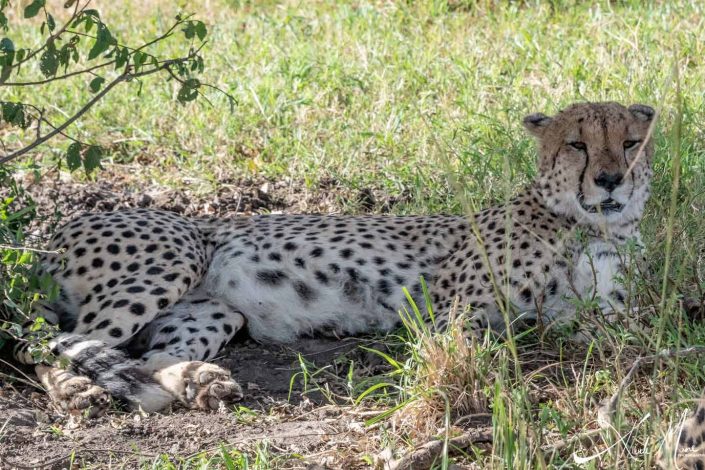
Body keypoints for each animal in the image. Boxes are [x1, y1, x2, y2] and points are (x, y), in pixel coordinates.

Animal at [15, 102, 656, 414]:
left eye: (630, 143)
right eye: (576, 144)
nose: (610, 181)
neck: (588, 225)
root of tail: (51, 233)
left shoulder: (604, 313)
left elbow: (626, 333)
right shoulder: (450, 303)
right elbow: (472, 345)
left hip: (214, 310)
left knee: (142, 357)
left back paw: (197, 381)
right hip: (176, 254)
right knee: (47, 343)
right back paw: (76, 392)